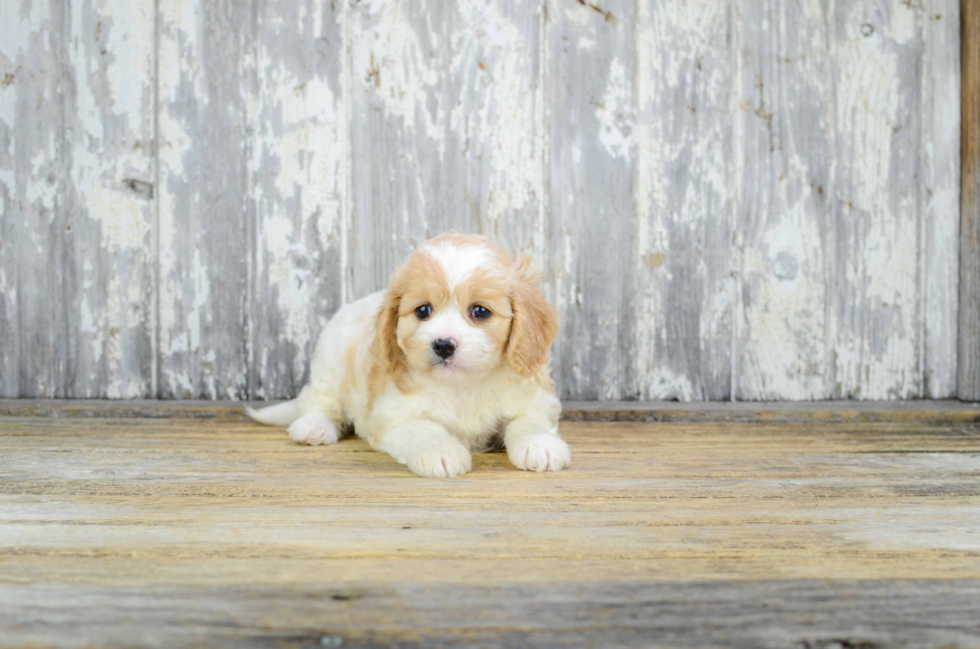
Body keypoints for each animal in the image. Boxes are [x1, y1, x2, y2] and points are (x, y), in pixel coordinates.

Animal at [245, 233, 572, 476]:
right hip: (330, 362)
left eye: (480, 311)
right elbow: (423, 428)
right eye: (423, 310)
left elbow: (527, 422)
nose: (443, 344)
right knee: (318, 400)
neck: (461, 385)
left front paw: (541, 446)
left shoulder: (531, 400)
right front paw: (441, 452)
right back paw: (313, 427)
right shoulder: (392, 415)